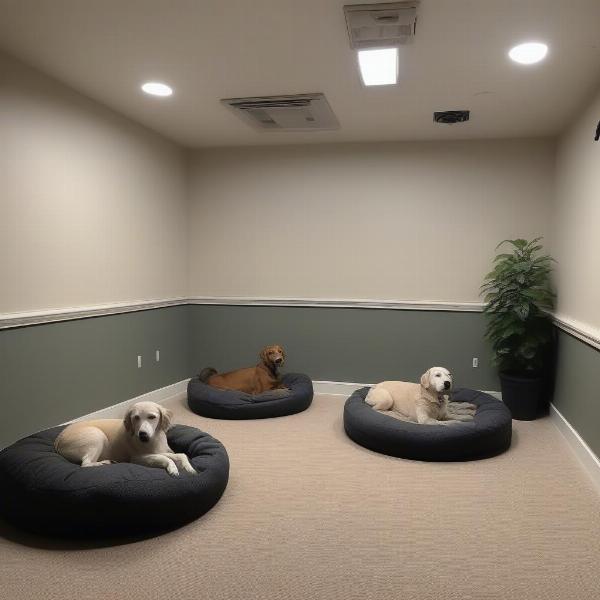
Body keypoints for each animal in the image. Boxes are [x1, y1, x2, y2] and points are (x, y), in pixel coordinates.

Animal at [52, 404, 196, 478]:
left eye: (152, 417)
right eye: (136, 417)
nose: (142, 435)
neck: (154, 439)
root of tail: (58, 439)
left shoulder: (163, 450)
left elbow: (180, 454)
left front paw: (189, 467)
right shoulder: (138, 458)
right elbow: (166, 458)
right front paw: (173, 468)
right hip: (97, 435)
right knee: (85, 464)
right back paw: (104, 463)